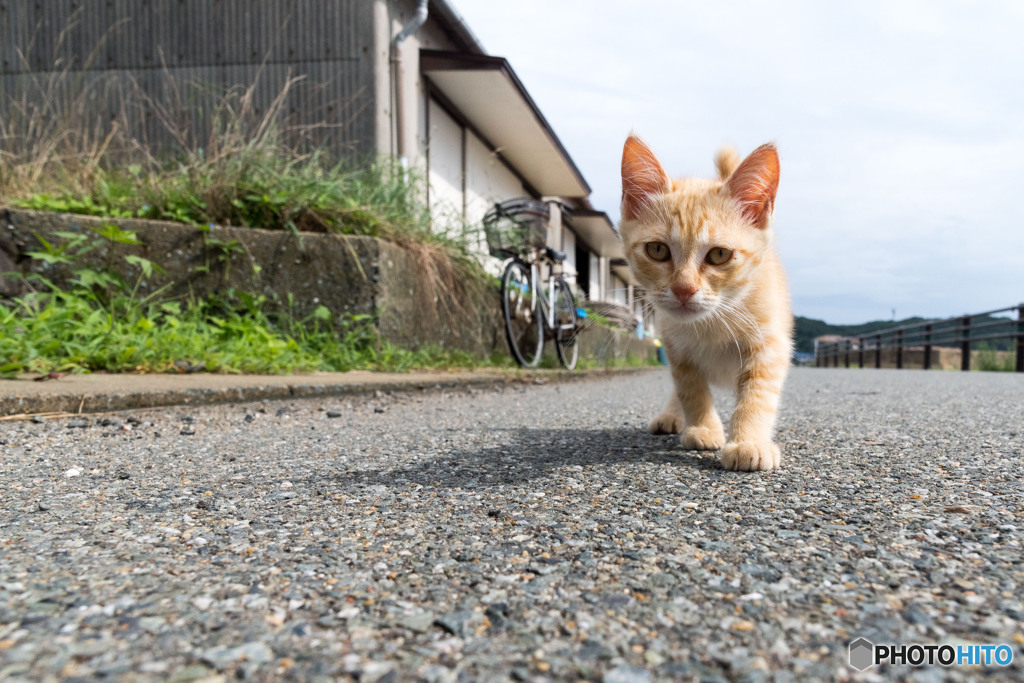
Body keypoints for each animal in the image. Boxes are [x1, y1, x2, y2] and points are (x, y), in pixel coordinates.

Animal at [614, 136, 790, 473]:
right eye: (657, 250)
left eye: (720, 254)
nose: (684, 289)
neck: (713, 322)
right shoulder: (675, 346)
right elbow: (690, 388)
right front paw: (703, 429)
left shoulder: (770, 342)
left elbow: (758, 392)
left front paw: (749, 441)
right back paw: (672, 416)